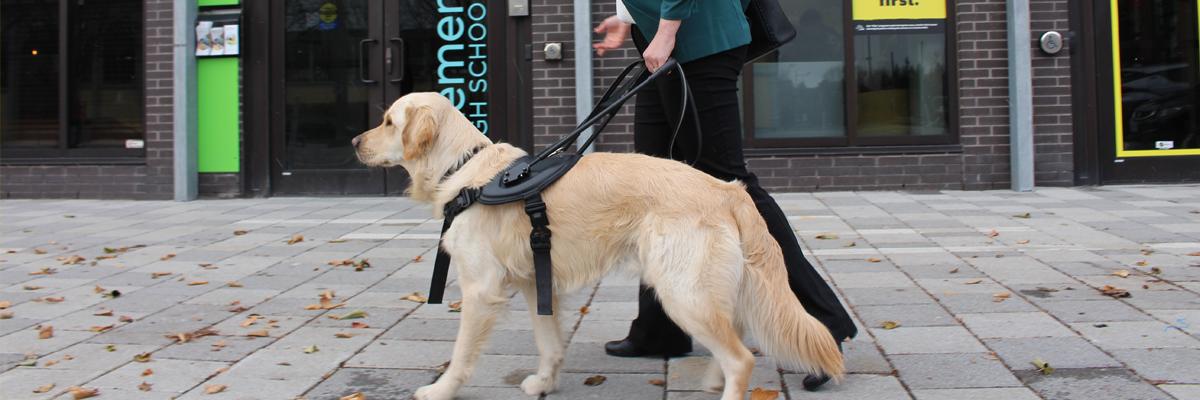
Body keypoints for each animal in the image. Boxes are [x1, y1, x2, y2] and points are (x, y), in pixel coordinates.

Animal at [352, 91, 844, 396]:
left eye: (388, 121)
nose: (355, 140)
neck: (464, 170)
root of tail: (728, 189)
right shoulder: (535, 282)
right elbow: (549, 343)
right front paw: (544, 383)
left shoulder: (480, 289)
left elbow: (459, 356)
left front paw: (440, 390)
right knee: (736, 340)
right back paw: (711, 380)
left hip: (680, 291)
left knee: (741, 359)